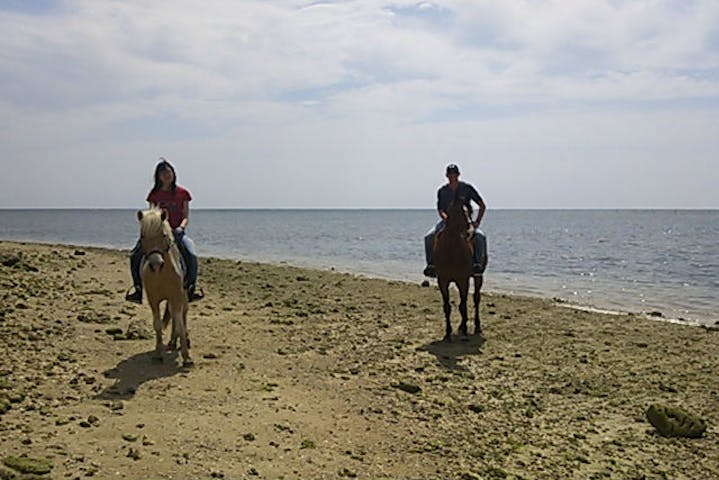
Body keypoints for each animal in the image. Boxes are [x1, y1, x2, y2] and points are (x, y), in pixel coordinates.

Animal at [137, 207, 194, 368]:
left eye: (163, 235)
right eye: (142, 236)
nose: (156, 264)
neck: (161, 274)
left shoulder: (177, 296)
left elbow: (180, 324)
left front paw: (187, 357)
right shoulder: (153, 299)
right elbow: (157, 325)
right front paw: (158, 353)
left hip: (183, 297)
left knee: (182, 315)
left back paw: (183, 340)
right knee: (174, 317)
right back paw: (173, 342)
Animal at [436, 196, 486, 342]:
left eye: (468, 210)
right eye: (459, 212)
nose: (470, 231)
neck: (451, 249)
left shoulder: (463, 280)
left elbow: (463, 306)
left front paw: (464, 331)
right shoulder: (443, 281)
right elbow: (447, 306)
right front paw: (448, 333)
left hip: (478, 277)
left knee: (476, 298)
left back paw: (476, 326)